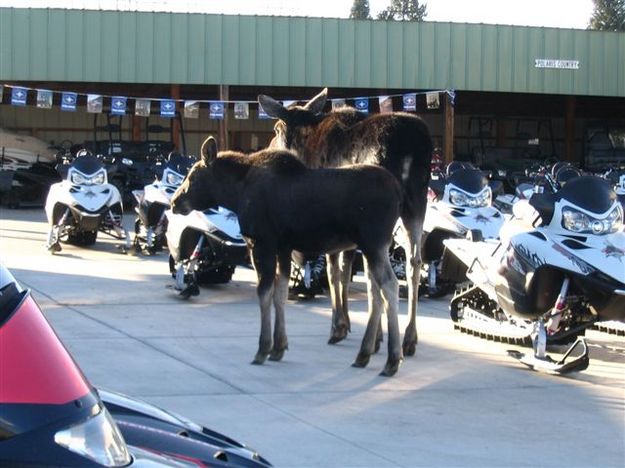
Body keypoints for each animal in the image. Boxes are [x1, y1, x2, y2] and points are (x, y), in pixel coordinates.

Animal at [171, 137, 404, 374]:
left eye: (193, 176)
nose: (175, 201)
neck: (235, 193)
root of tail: (397, 191)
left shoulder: (261, 243)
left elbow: (264, 293)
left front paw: (263, 348)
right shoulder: (283, 248)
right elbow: (280, 293)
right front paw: (279, 347)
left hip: (373, 243)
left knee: (390, 285)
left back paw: (392, 359)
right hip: (370, 247)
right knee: (375, 292)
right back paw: (364, 354)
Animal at [258, 89, 428, 356]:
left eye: (276, 128)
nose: (270, 148)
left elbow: (333, 270)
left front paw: (337, 325)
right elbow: (346, 267)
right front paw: (346, 322)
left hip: (379, 214)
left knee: (376, 271)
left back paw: (376, 339)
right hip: (416, 204)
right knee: (414, 261)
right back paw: (409, 338)